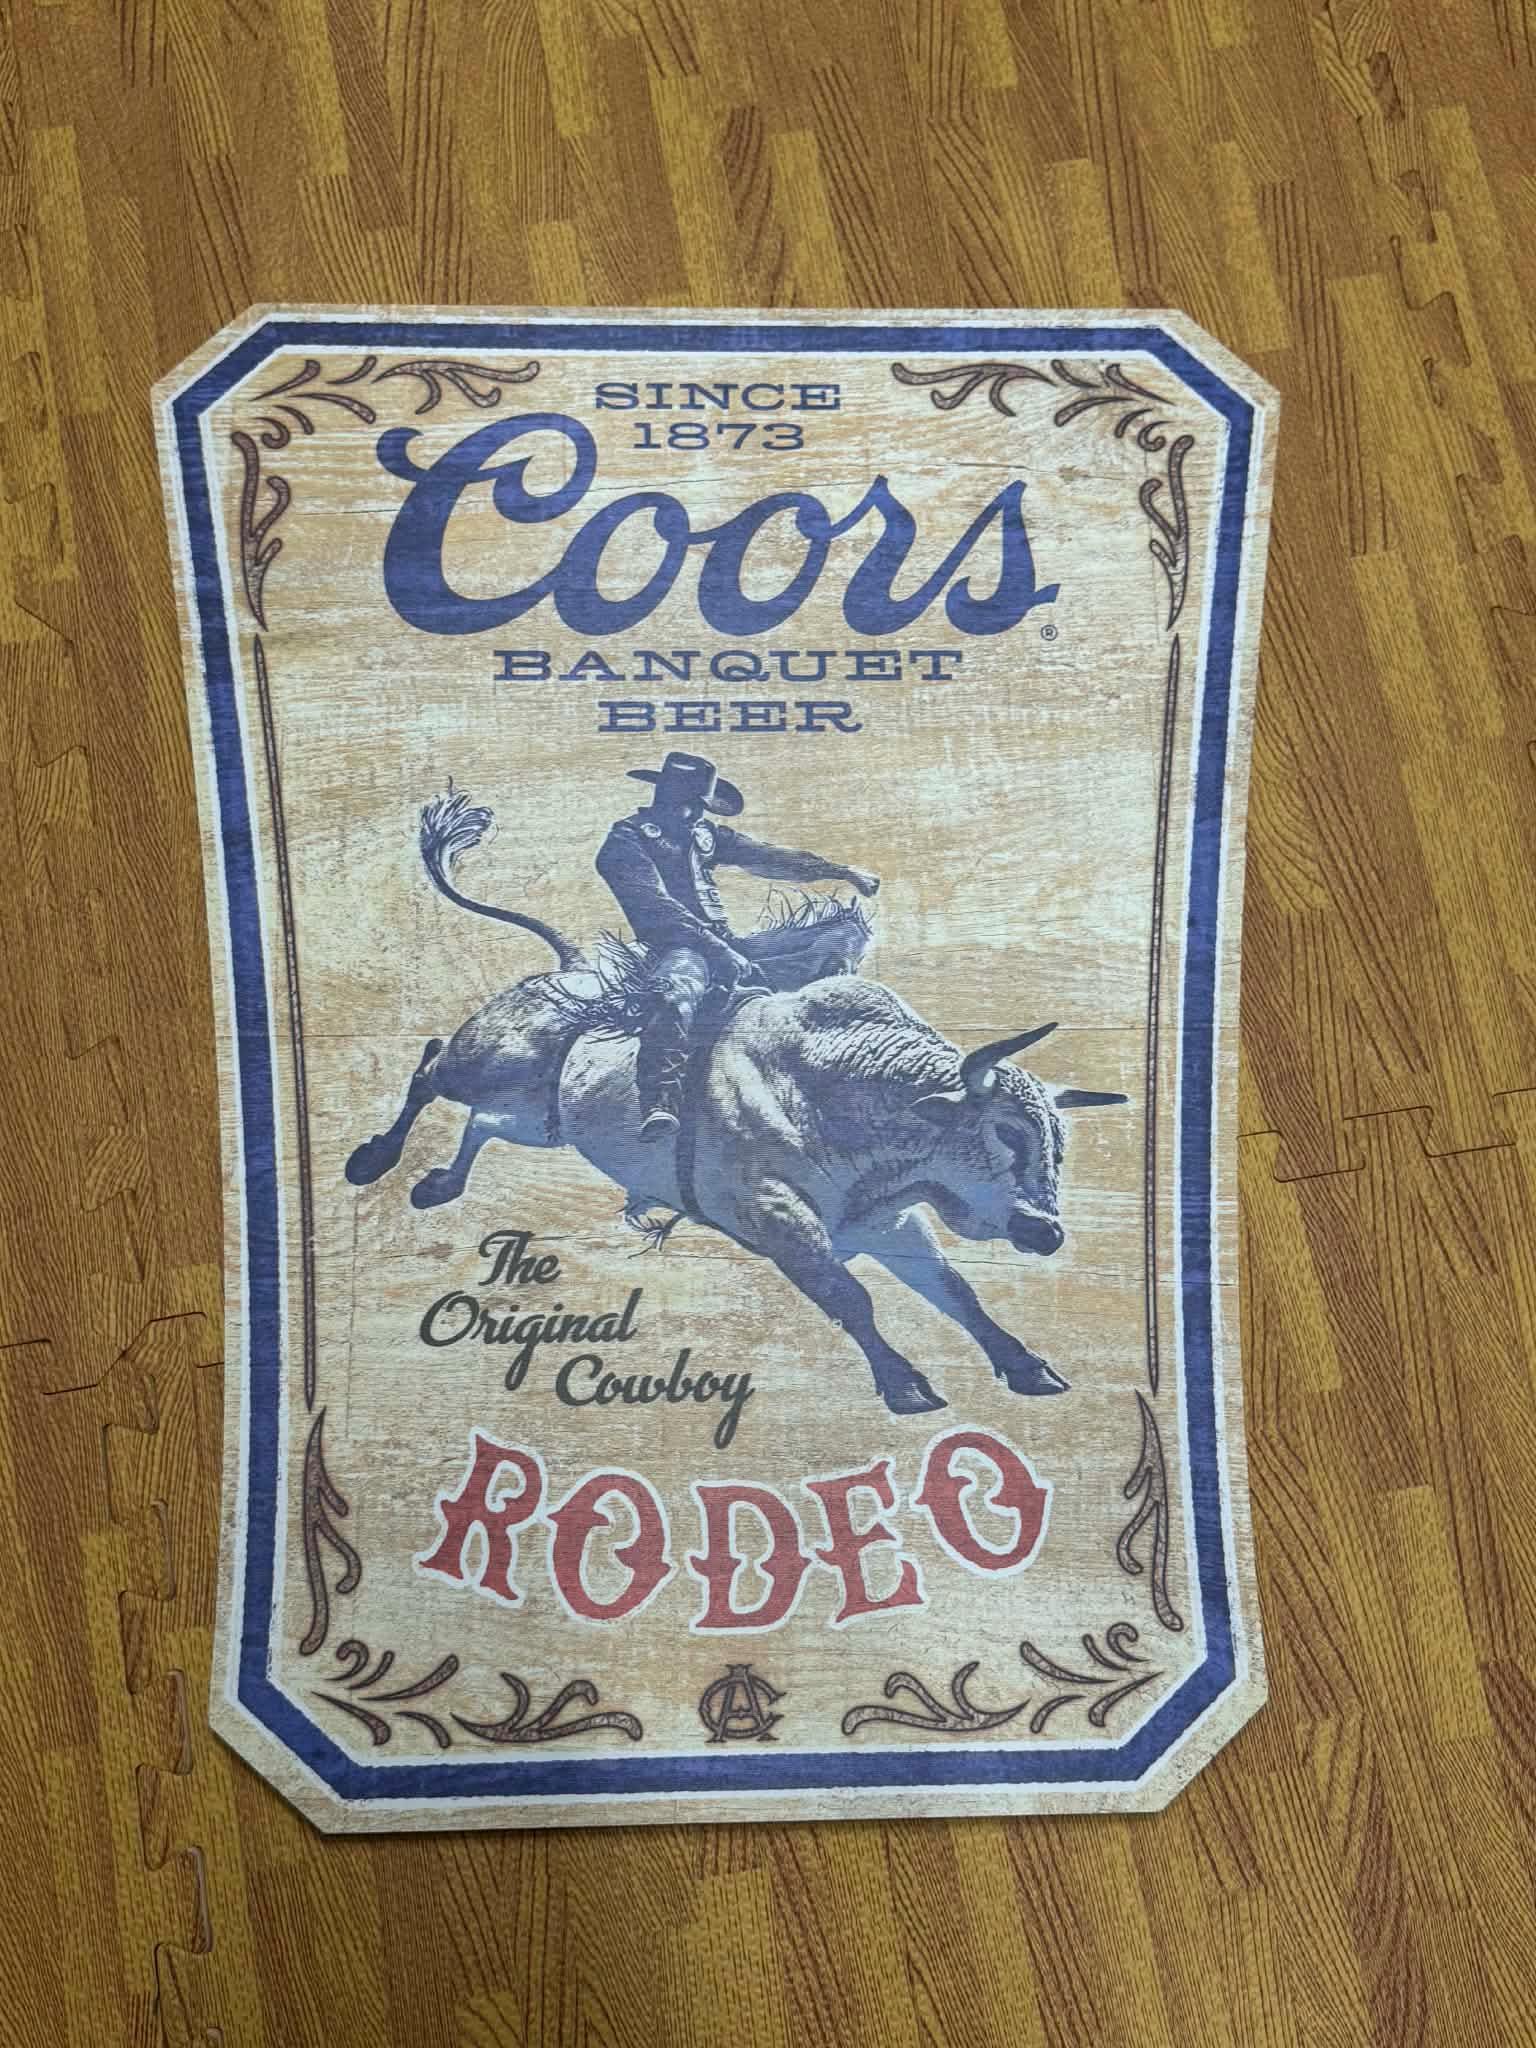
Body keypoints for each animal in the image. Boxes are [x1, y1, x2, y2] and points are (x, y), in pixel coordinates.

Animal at [346, 793, 1129, 1416]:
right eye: (1006, 1132)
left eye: (1057, 1141)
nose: (1046, 1233)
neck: (835, 1088)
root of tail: (573, 971)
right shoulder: (779, 1219)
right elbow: (853, 1298)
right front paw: (906, 1385)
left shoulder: (890, 1221)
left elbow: (956, 1291)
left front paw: (1029, 1368)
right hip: (488, 1063)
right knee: (430, 1066)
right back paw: (372, 1160)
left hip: (543, 1122)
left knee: (482, 1124)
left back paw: (438, 1185)